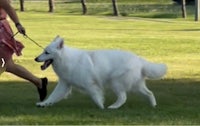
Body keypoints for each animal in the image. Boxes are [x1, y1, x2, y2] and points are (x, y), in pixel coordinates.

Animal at [34, 36, 167, 109]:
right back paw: (153, 105)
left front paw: (100, 106)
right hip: (136, 86)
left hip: (116, 82)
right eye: (43, 51)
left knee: (123, 97)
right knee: (149, 93)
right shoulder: (64, 84)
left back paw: (113, 107)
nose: (35, 58)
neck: (66, 59)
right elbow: (53, 96)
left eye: (46, 52)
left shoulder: (90, 84)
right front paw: (44, 104)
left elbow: (95, 96)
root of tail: (139, 59)